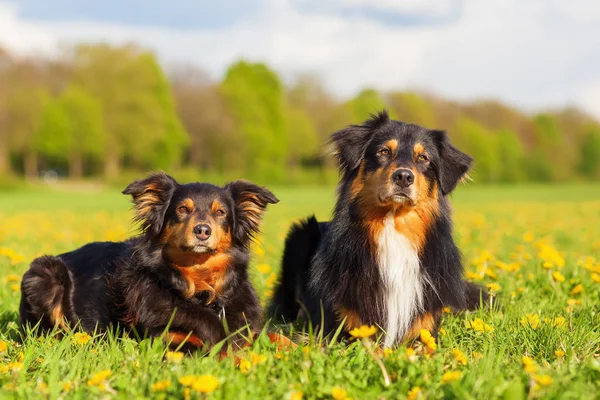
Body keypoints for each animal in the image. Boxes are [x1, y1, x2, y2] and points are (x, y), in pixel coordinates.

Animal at [19, 172, 278, 350]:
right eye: (182, 209)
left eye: (220, 212)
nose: (202, 230)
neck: (200, 290)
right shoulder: (169, 339)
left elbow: (274, 335)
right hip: (44, 274)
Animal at [270, 111, 486, 346]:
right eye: (384, 152)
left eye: (423, 158)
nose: (403, 177)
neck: (393, 225)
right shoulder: (342, 331)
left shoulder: (425, 331)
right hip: (300, 234)